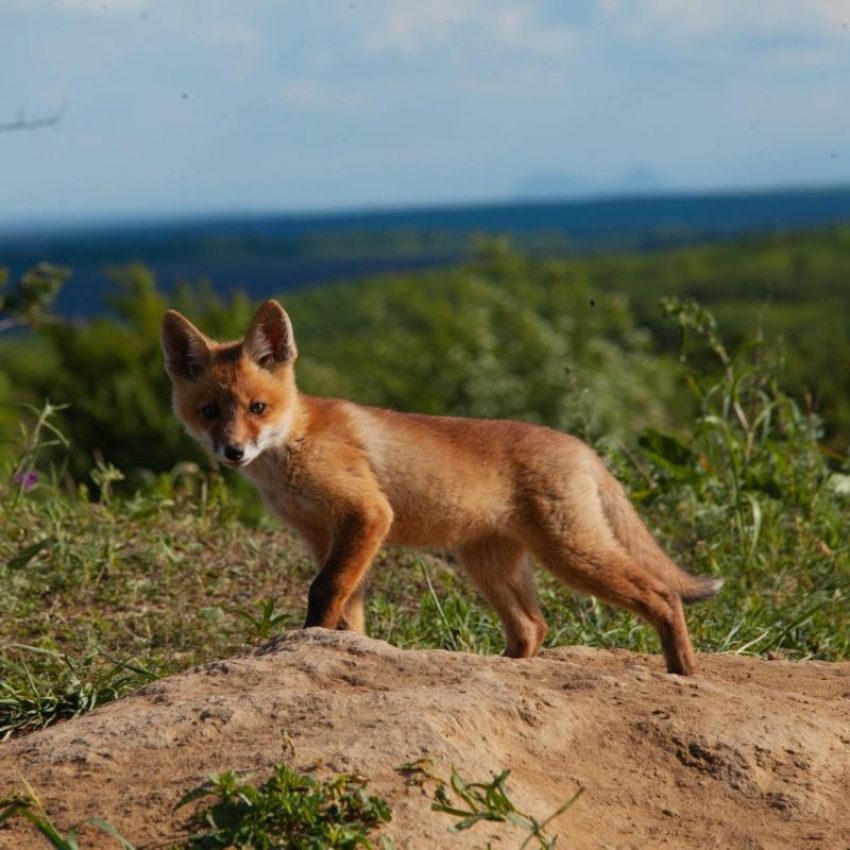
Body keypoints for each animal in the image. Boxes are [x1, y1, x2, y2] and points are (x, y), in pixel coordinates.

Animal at [159, 298, 716, 676]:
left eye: (257, 408)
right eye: (209, 411)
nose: (232, 452)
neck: (293, 445)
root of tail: (581, 445)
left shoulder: (367, 515)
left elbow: (325, 591)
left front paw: (310, 639)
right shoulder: (325, 535)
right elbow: (349, 611)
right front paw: (343, 651)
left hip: (570, 553)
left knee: (663, 593)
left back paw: (683, 670)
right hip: (489, 564)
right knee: (533, 626)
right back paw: (503, 669)